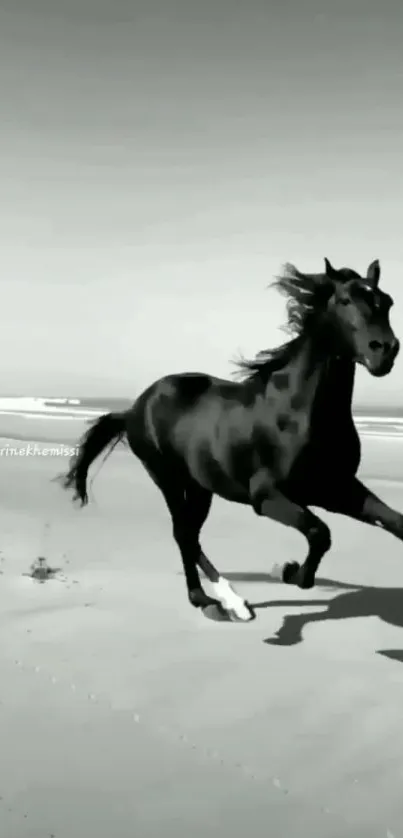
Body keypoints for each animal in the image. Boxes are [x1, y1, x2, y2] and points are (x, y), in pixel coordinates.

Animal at [60, 260, 400, 624]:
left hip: (200, 487)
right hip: (167, 477)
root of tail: (135, 407)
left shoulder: (337, 489)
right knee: (183, 533)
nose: (385, 350)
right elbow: (318, 533)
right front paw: (287, 570)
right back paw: (217, 600)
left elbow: (394, 522)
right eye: (345, 301)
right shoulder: (266, 496)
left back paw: (226, 600)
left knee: (190, 534)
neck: (299, 412)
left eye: (387, 302)